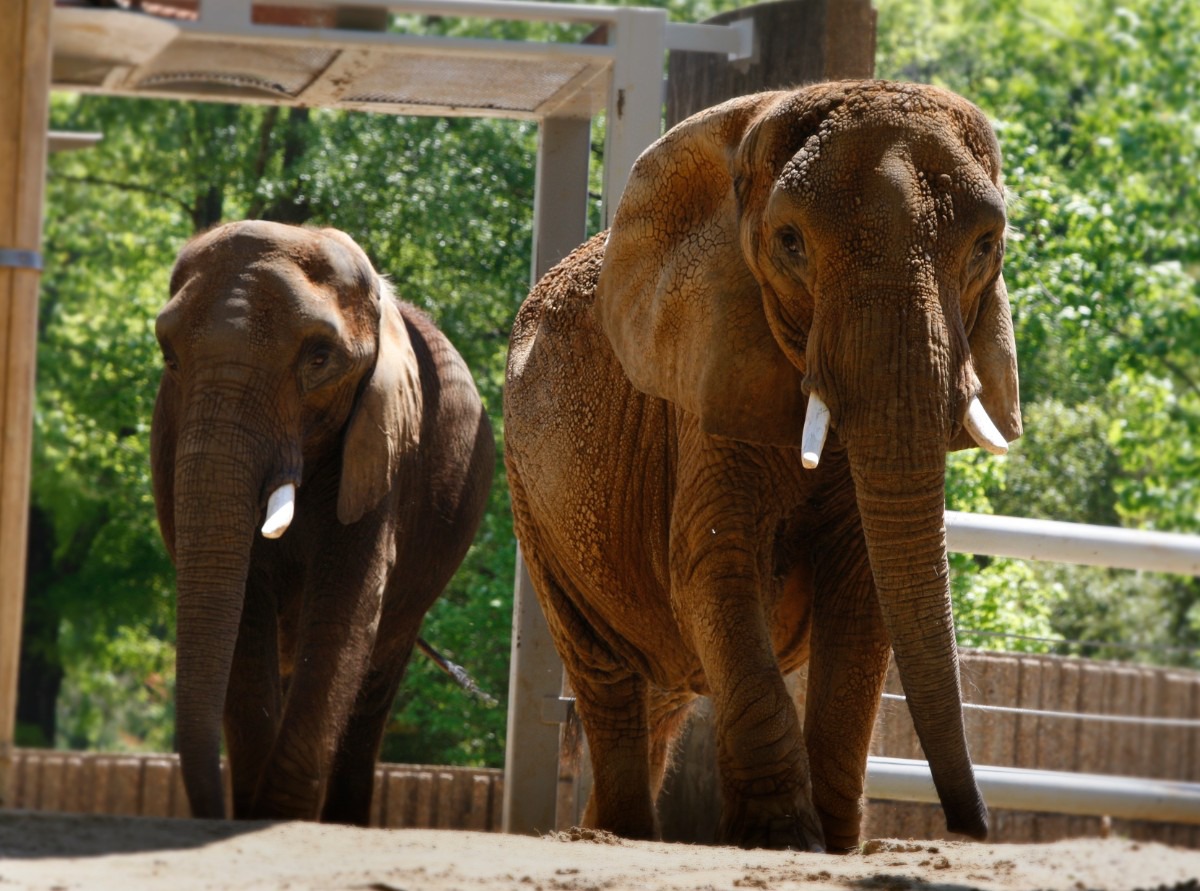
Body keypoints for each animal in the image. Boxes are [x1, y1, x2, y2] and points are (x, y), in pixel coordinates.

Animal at [151, 219, 496, 826]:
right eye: (169, 356)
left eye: (319, 359)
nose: (215, 812)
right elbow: (244, 609)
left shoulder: (384, 445)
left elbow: (345, 607)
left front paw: (275, 816)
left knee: (376, 676)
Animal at [504, 80, 1022, 854]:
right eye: (791, 243)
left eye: (987, 244)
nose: (972, 828)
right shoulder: (706, 376)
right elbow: (715, 568)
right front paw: (780, 837)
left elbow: (864, 587)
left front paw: (834, 843)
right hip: (531, 498)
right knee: (606, 675)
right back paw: (621, 833)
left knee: (661, 698)